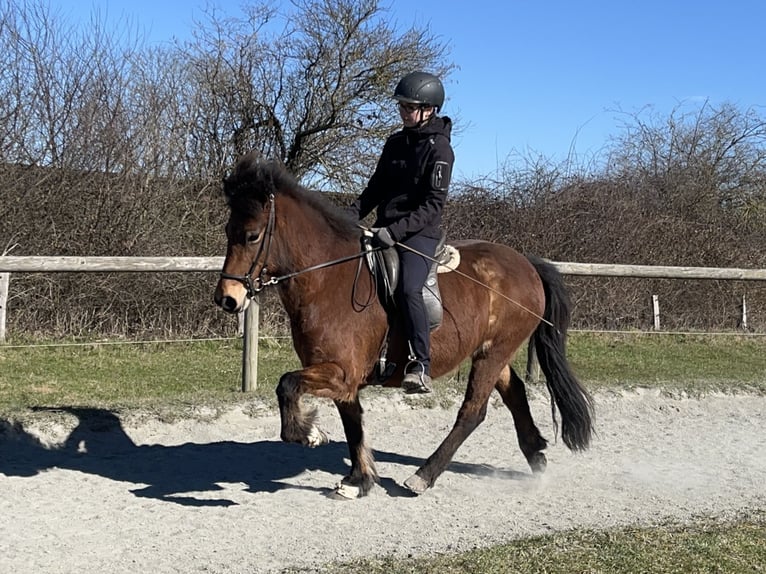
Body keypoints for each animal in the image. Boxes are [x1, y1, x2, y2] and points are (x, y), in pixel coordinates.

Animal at [214, 153, 594, 498]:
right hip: (492, 350)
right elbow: (352, 421)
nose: (227, 298)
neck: (329, 279)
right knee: (514, 392)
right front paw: (359, 479)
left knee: (473, 412)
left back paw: (423, 476)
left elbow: (287, 385)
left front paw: (310, 433)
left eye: (252, 236)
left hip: (494, 352)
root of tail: (526, 263)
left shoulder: (341, 371)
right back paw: (536, 456)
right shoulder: (342, 377)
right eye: (228, 231)